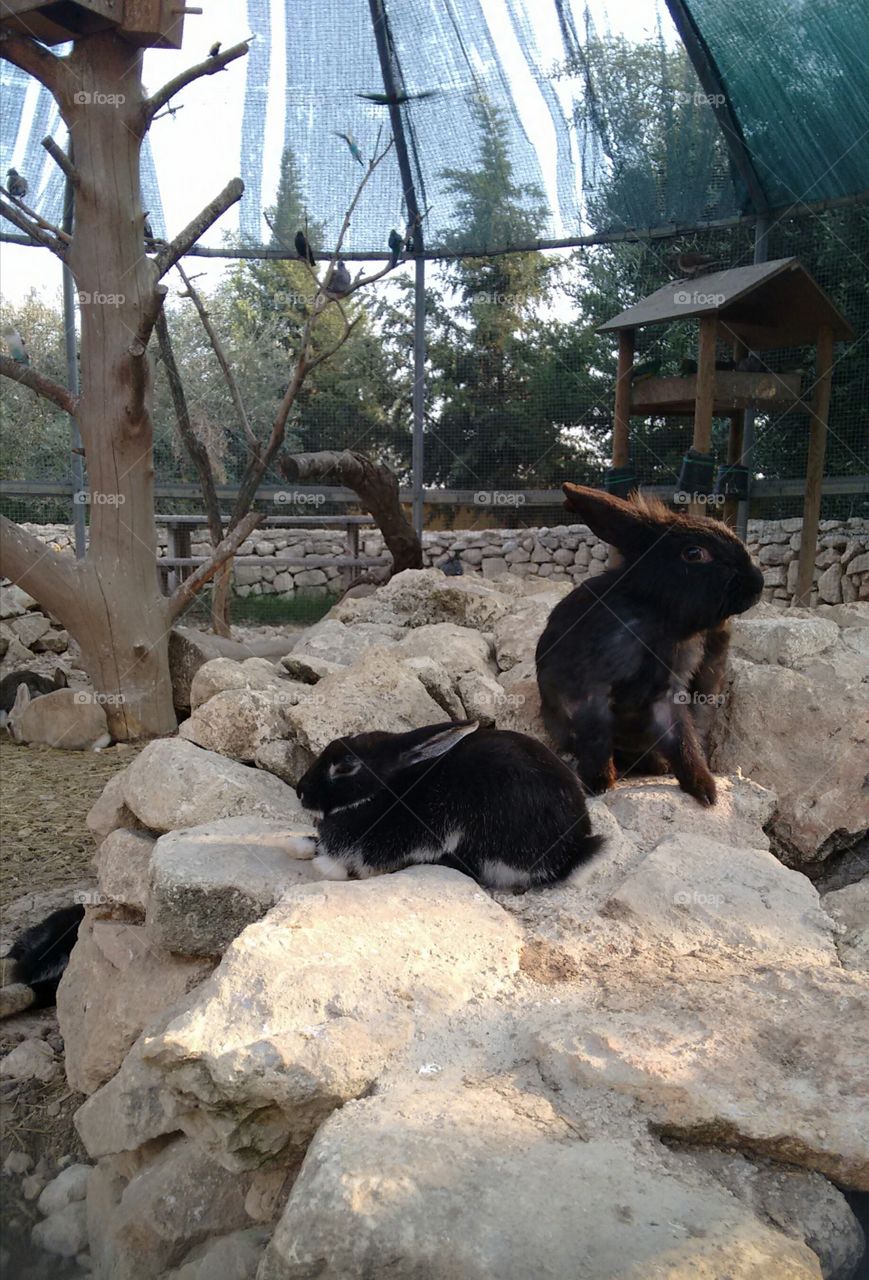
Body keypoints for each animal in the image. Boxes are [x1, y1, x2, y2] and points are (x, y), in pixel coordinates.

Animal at [295, 721, 601, 890]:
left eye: (345, 768)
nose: (300, 791)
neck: (385, 791)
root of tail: (572, 853)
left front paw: (323, 864)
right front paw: (300, 843)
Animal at [537, 483, 762, 803]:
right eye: (694, 553)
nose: (758, 584)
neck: (655, 616)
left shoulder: (667, 698)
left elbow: (682, 741)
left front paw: (704, 790)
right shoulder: (591, 691)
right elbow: (596, 738)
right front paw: (598, 783)